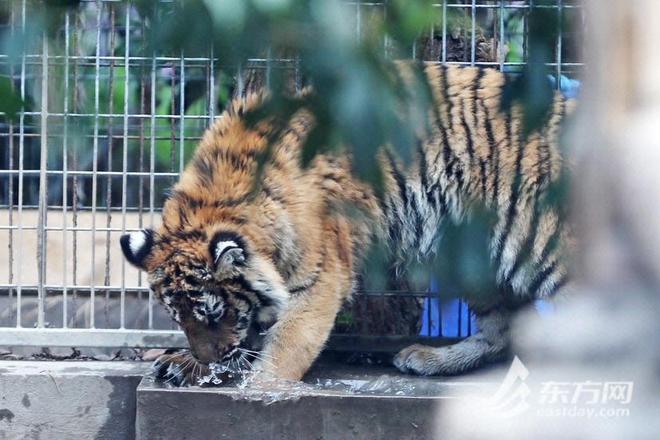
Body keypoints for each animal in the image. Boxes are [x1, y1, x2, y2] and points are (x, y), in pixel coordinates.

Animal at [120, 63, 574, 384]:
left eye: (214, 314)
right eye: (180, 318)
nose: (206, 358)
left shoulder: (320, 276)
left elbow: (288, 344)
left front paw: (260, 388)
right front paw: (188, 364)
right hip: (466, 253)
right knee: (505, 330)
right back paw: (429, 359)